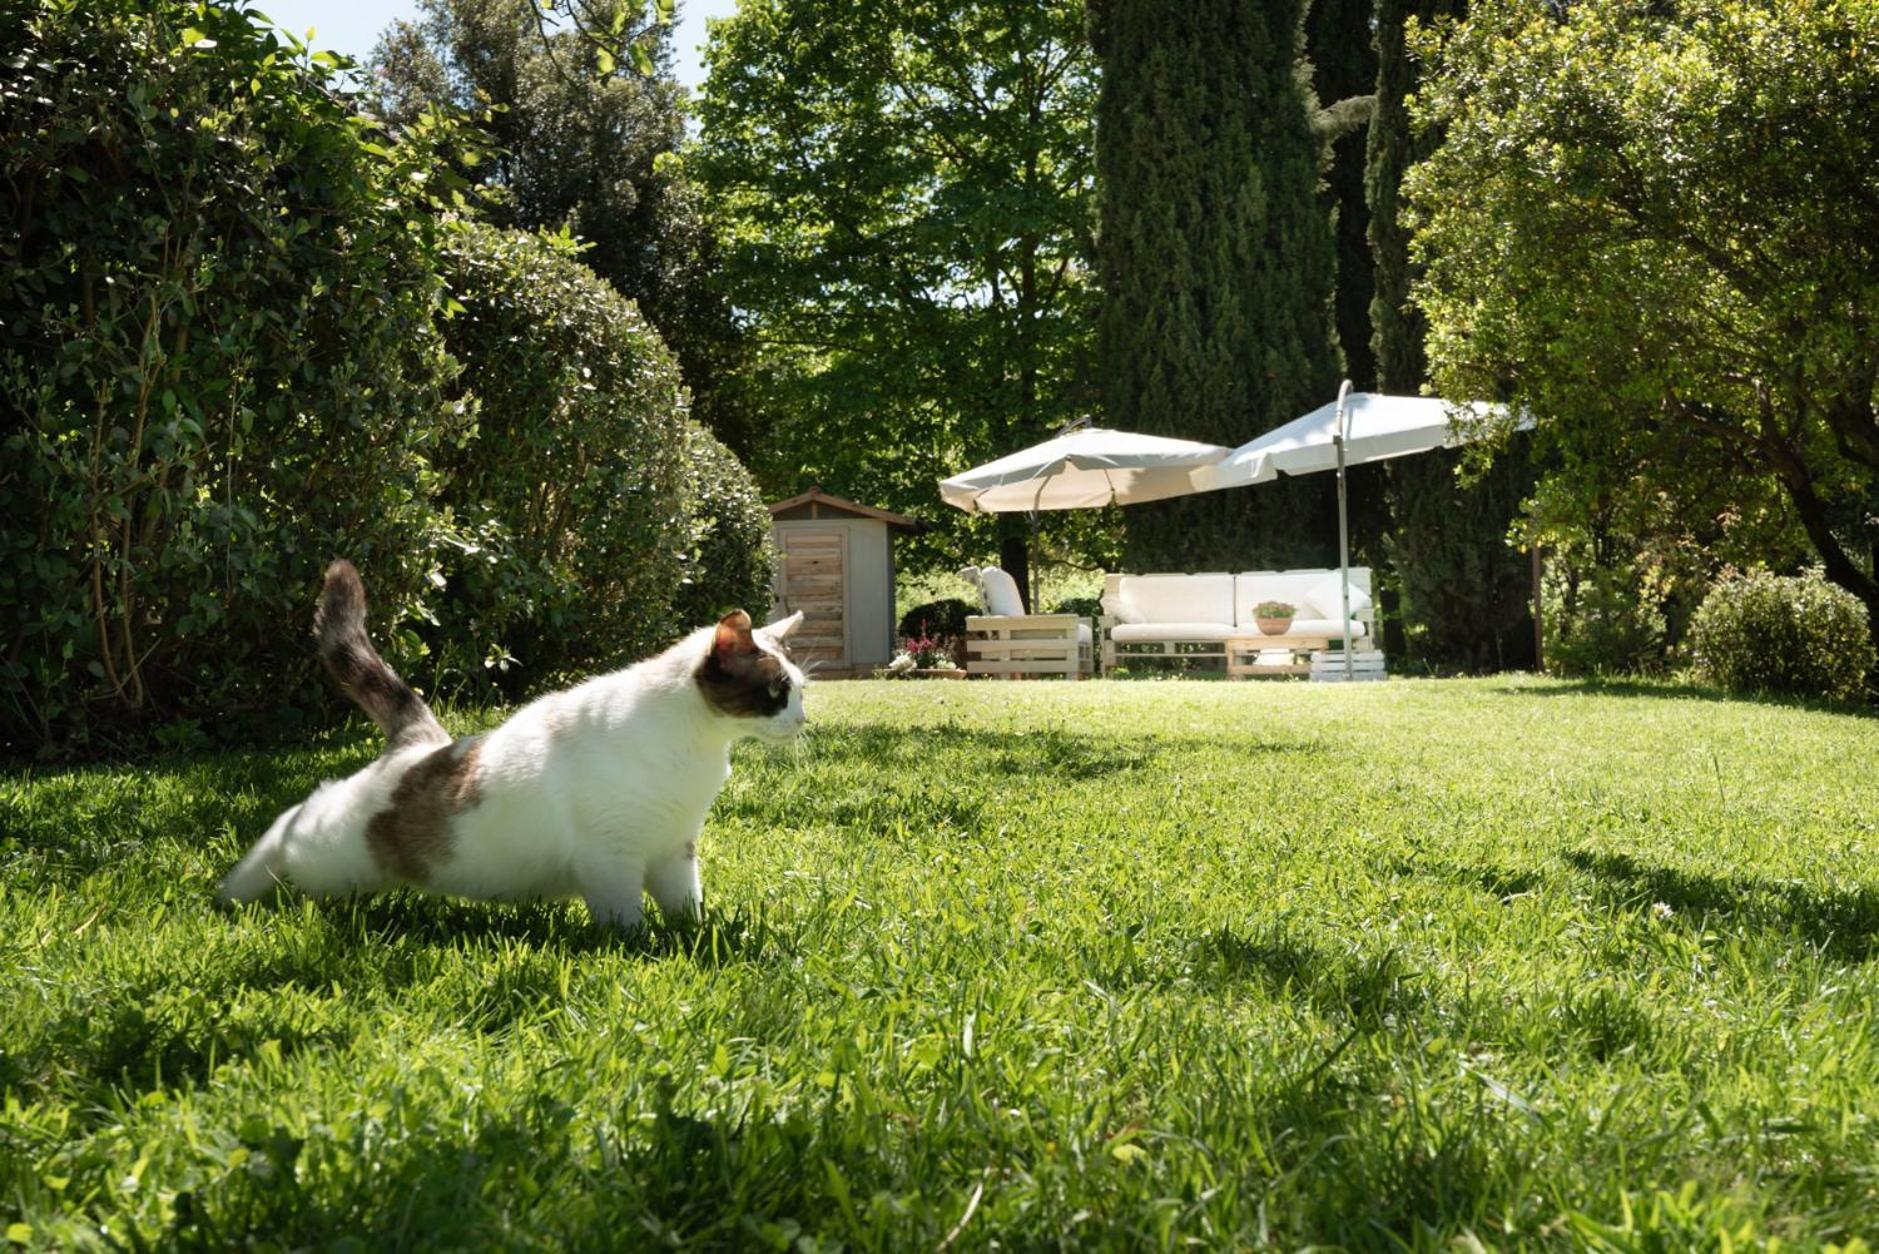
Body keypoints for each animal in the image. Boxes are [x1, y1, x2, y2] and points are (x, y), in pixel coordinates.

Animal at [219, 560, 807, 932]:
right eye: (777, 692)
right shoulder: (612, 857)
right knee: (296, 816)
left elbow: (686, 908)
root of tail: (419, 744)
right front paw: (638, 947)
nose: (802, 720)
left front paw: (691, 937)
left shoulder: (674, 849)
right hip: (331, 856)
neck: (700, 751)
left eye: (802, 689)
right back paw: (234, 889)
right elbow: (625, 922)